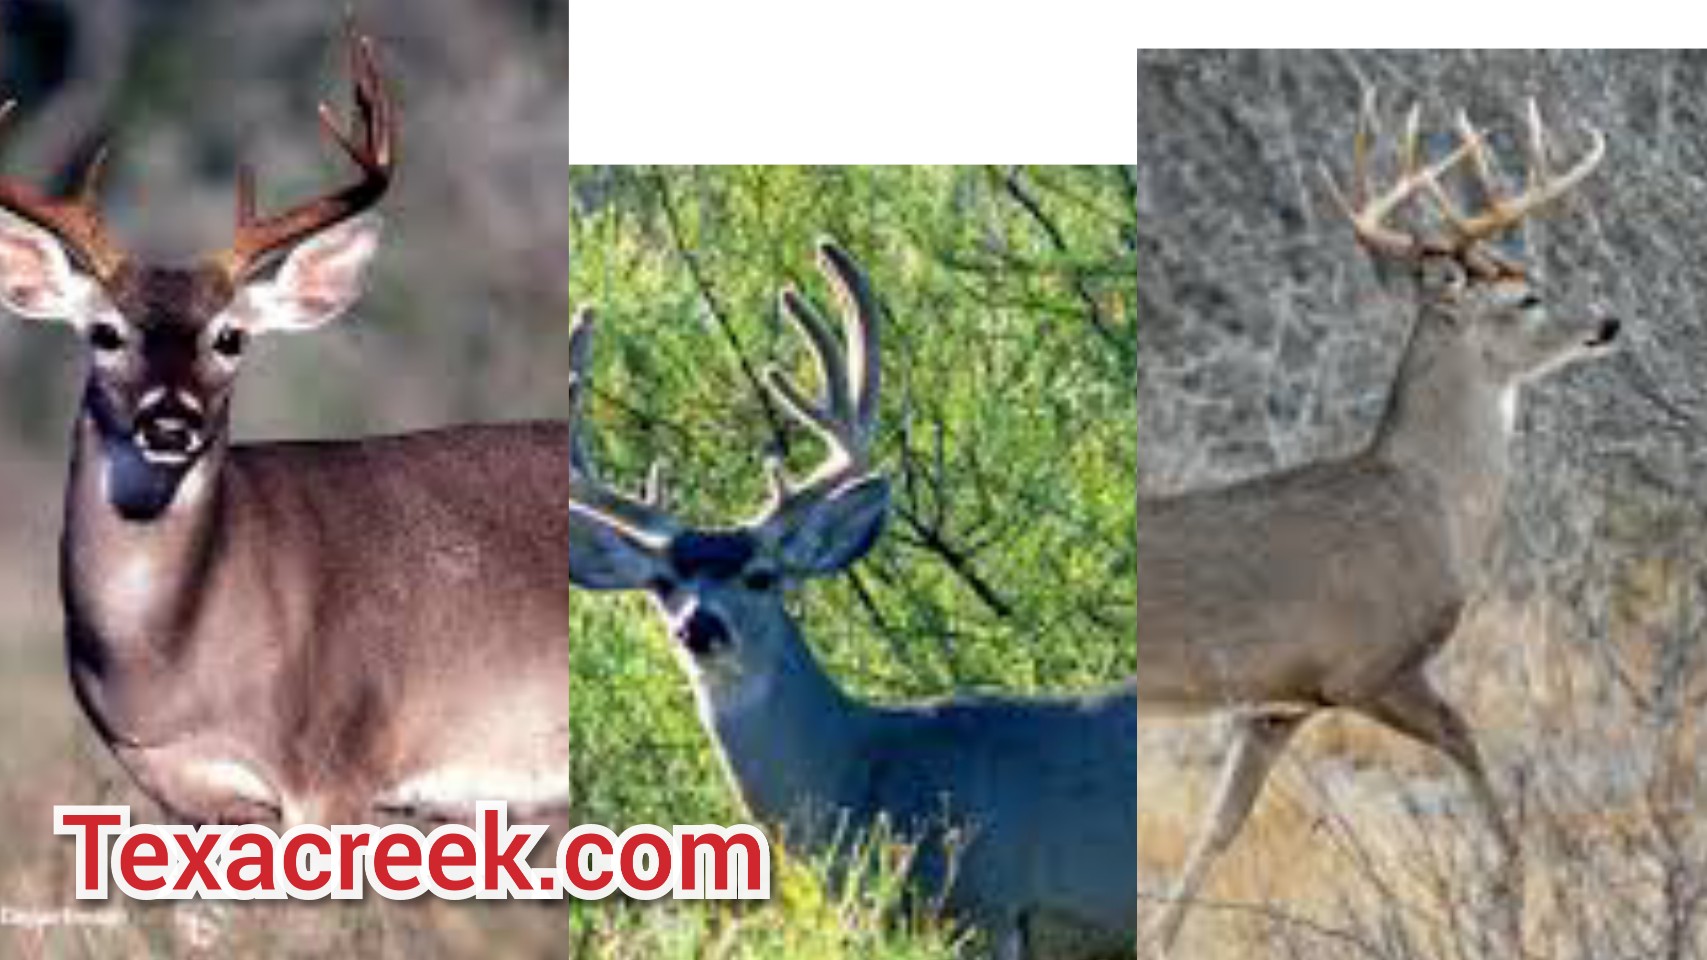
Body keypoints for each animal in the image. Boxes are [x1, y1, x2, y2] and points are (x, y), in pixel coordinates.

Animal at [1138, 92, 1618, 953]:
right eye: (1525, 296)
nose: (1606, 322)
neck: (1432, 509)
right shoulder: (1368, 667)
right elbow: (1470, 747)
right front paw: (1506, 903)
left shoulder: (1275, 702)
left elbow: (1217, 829)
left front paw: (1154, 937)